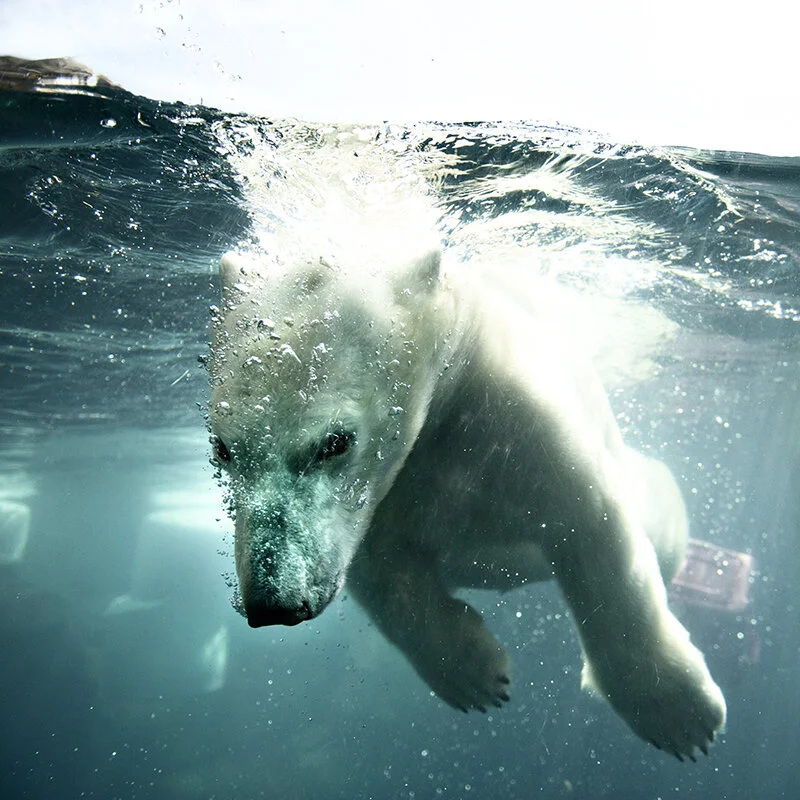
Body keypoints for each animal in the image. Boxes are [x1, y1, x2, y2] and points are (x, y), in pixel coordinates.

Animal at [208, 246, 726, 761]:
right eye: (222, 448)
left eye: (336, 441)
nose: (272, 603)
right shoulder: (383, 499)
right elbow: (381, 576)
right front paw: (474, 673)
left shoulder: (518, 416)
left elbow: (595, 528)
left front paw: (677, 711)